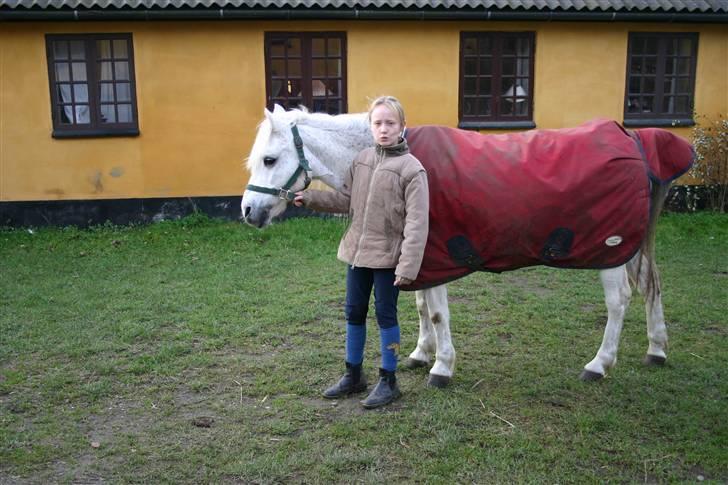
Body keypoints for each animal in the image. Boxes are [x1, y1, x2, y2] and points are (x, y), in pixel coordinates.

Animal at [240, 106, 672, 386]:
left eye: (269, 159)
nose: (247, 211)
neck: (399, 158)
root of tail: (630, 138)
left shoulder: (436, 257)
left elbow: (435, 313)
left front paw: (442, 367)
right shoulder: (417, 260)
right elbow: (418, 305)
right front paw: (420, 354)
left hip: (610, 251)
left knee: (619, 300)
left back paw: (599, 364)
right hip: (629, 247)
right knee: (652, 284)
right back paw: (656, 349)